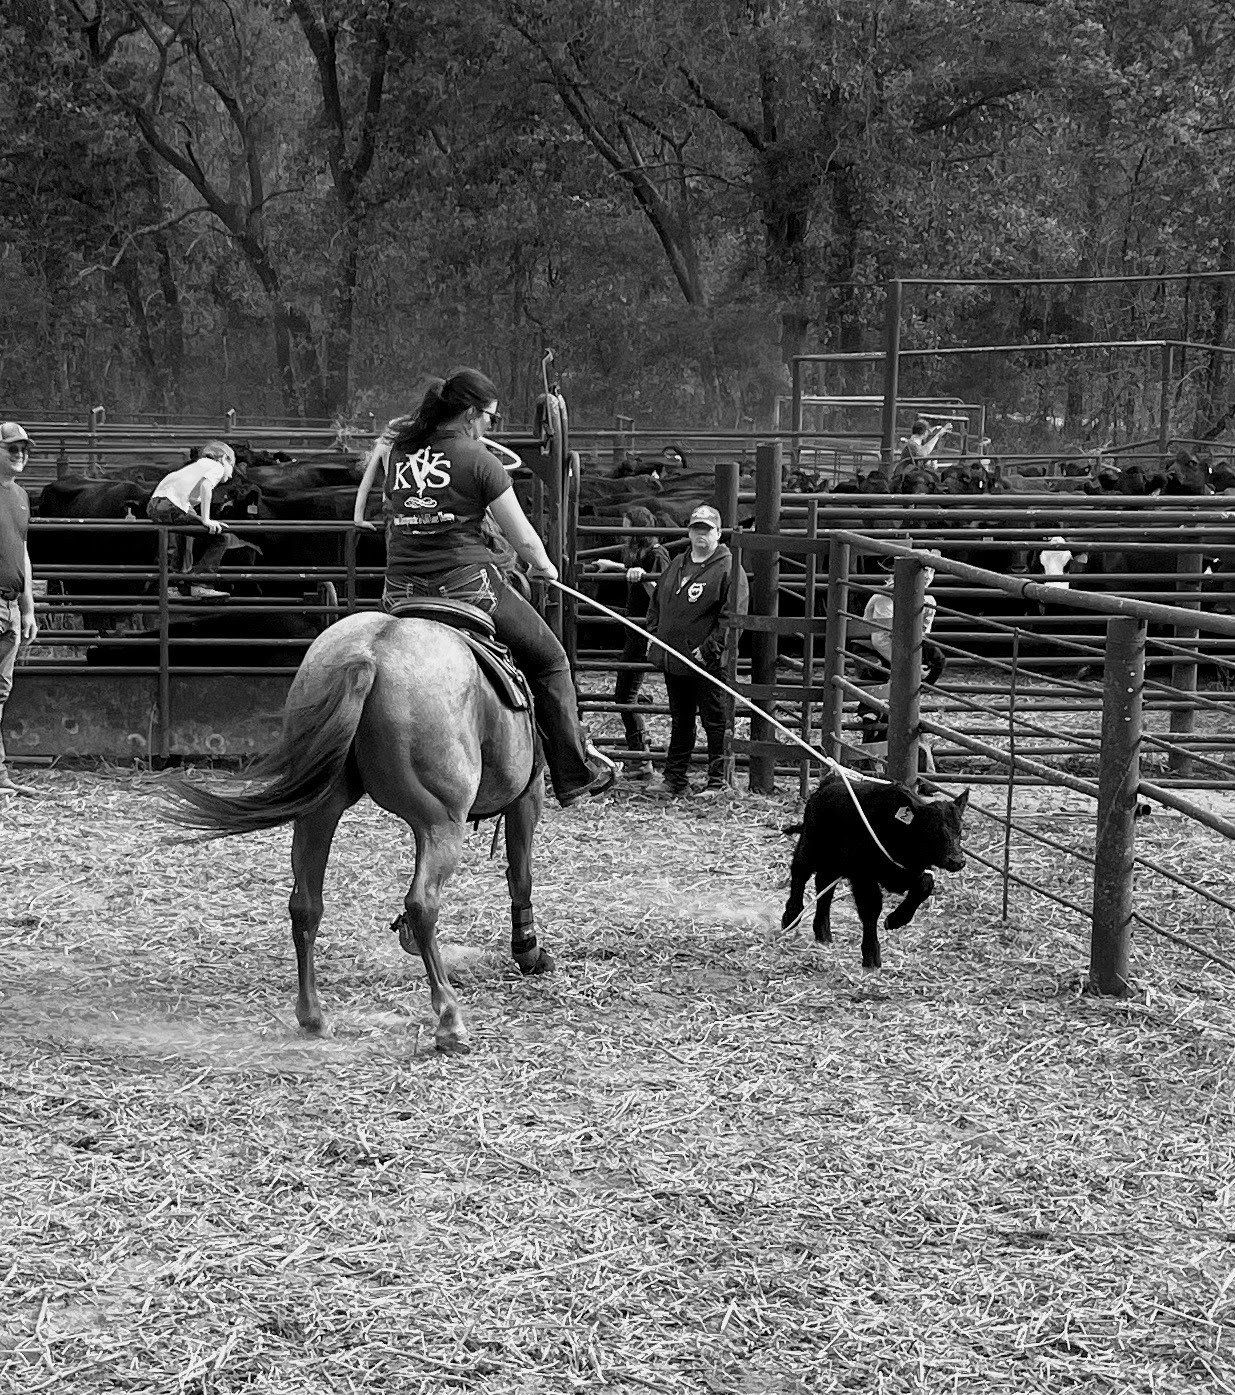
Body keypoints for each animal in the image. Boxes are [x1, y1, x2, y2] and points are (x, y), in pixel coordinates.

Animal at [163, 608, 552, 1053]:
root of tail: (370, 651)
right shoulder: (528, 797)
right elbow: (520, 874)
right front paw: (528, 951)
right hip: (440, 822)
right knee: (423, 903)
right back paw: (449, 1019)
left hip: (319, 812)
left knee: (306, 904)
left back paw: (313, 1016)